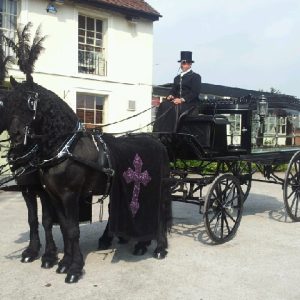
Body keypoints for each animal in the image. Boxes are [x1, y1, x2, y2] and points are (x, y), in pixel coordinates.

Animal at [2, 78, 172, 284]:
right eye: (9, 104)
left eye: (30, 102)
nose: (16, 136)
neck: (65, 148)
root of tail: (157, 142)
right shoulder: (51, 194)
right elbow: (63, 227)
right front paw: (64, 262)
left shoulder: (69, 195)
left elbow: (71, 229)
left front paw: (74, 268)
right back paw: (140, 243)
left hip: (157, 187)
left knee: (160, 213)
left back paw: (160, 247)